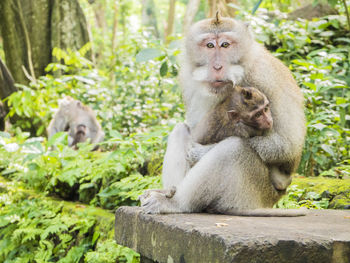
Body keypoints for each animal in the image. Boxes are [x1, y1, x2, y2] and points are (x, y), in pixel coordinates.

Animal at [139, 13, 306, 218]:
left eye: (225, 44)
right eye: (210, 45)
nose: (217, 66)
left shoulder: (265, 77)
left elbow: (288, 147)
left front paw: (201, 152)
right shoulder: (187, 79)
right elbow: (195, 131)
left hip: (253, 193)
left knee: (233, 149)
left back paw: (175, 203)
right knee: (180, 131)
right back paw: (169, 191)